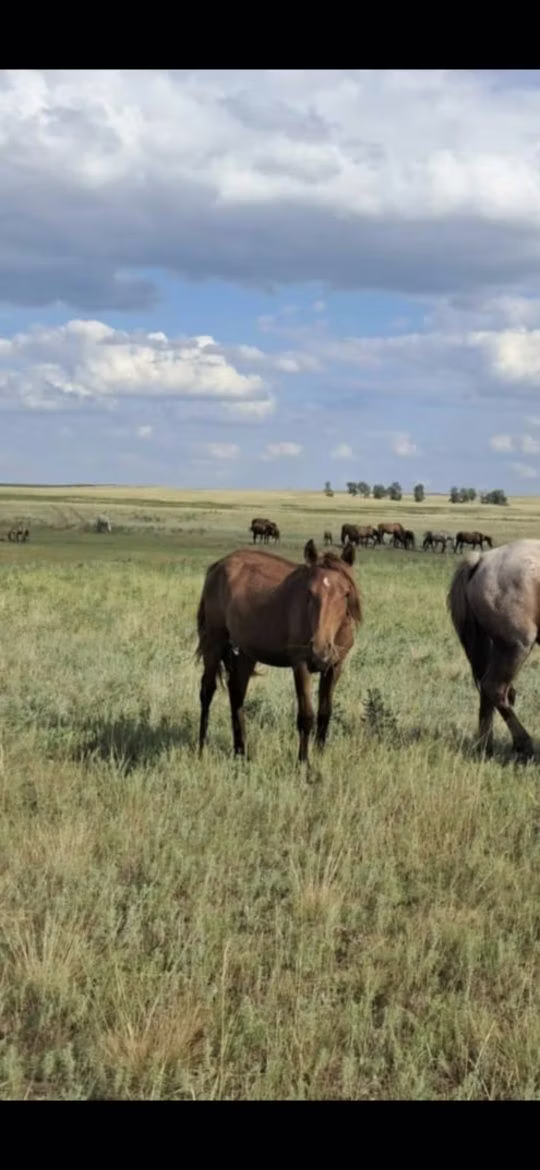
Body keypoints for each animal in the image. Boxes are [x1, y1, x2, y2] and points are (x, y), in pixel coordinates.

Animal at [196, 539, 362, 767]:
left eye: (345, 594)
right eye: (309, 593)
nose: (319, 650)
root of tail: (217, 566)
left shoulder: (335, 666)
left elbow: (325, 713)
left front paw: (320, 755)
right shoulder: (300, 664)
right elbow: (306, 716)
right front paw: (304, 763)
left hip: (246, 653)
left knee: (236, 693)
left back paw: (241, 752)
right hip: (214, 641)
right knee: (207, 691)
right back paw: (201, 750)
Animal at [447, 538, 540, 759]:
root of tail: (482, 559)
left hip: (496, 647)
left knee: (487, 689)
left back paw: (486, 746)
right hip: (515, 646)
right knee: (494, 688)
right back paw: (524, 745)